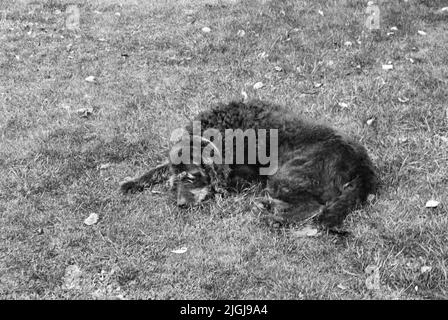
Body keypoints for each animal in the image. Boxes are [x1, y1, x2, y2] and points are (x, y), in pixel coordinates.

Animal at [121, 100, 376, 228]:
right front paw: (132, 182)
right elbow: (157, 169)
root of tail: (363, 166)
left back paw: (273, 217)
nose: (180, 205)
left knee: (314, 207)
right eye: (175, 182)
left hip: (284, 176)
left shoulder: (244, 178)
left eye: (192, 177)